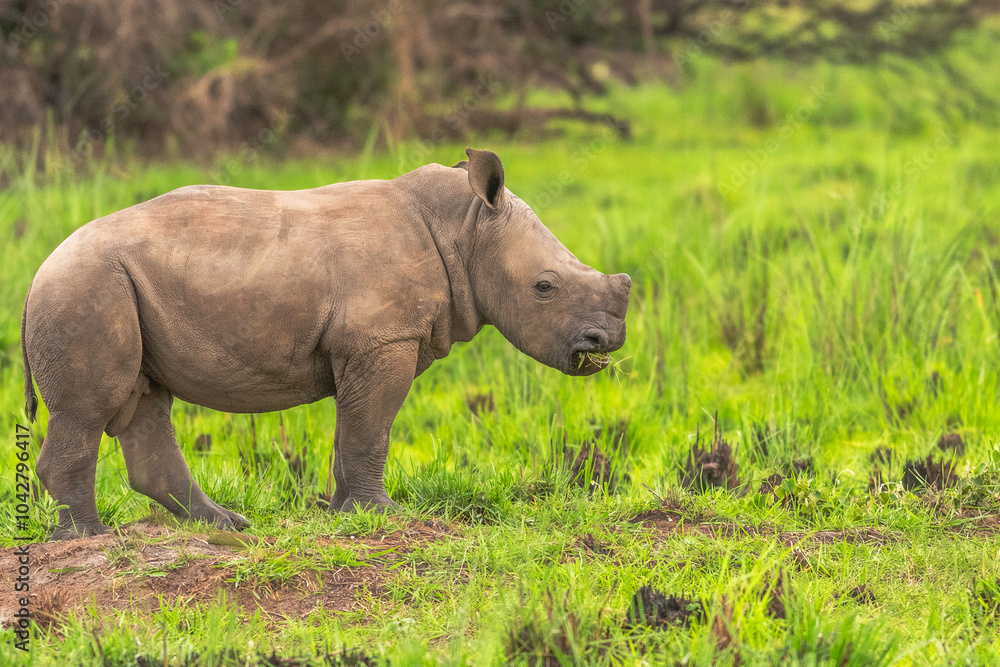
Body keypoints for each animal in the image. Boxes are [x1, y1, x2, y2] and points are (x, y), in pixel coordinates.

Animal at [21, 148, 630, 540]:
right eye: (544, 287)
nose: (607, 340)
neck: (465, 229)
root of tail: (35, 276)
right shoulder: (383, 341)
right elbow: (371, 430)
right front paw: (384, 516)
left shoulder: (365, 346)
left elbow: (351, 431)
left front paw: (345, 515)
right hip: (86, 287)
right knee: (92, 408)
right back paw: (90, 540)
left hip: (109, 286)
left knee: (146, 400)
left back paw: (229, 527)